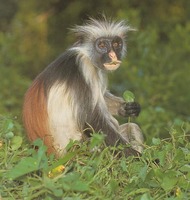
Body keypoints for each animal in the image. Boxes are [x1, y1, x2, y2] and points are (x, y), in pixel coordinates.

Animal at [22, 17, 144, 158]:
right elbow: (90, 118)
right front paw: (138, 157)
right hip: (79, 150)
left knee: (133, 127)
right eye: (102, 45)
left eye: (116, 44)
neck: (87, 56)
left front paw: (127, 108)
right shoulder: (83, 67)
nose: (113, 55)